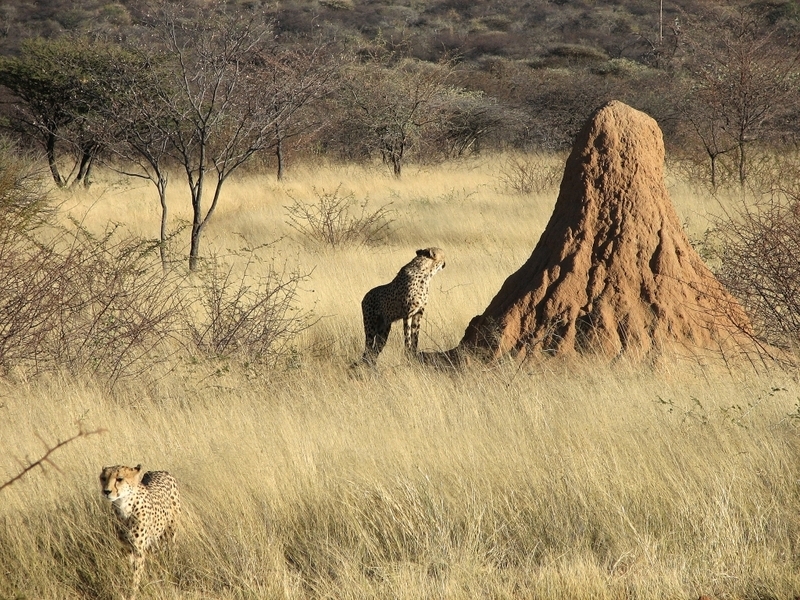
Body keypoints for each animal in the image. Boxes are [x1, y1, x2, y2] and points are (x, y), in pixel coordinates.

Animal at [100, 464, 181, 600]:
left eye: (119, 479)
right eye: (103, 478)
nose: (106, 492)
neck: (124, 505)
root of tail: (161, 471)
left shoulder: (138, 550)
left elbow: (135, 576)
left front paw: (131, 594)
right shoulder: (126, 548)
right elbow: (128, 571)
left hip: (171, 533)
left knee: (173, 553)